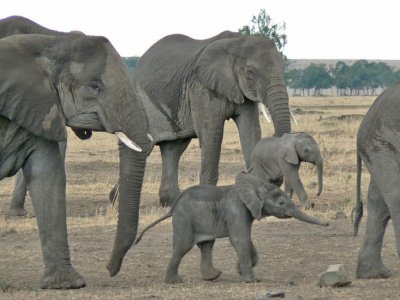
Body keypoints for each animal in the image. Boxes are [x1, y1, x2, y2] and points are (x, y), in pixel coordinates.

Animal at [133, 30, 292, 206]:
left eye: (283, 68)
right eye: (250, 72)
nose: (275, 178)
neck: (237, 41)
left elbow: (250, 130)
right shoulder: (203, 88)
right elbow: (212, 135)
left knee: (173, 148)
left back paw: (170, 202)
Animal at [134, 171, 328, 284]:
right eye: (281, 203)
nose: (328, 223)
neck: (256, 186)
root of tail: (173, 206)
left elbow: (246, 239)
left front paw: (240, 270)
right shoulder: (237, 209)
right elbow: (239, 239)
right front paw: (252, 280)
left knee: (206, 245)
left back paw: (213, 277)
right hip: (185, 218)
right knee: (183, 246)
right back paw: (174, 281)